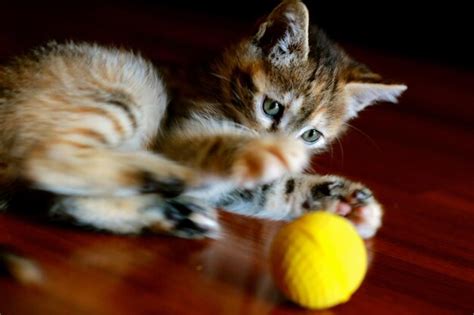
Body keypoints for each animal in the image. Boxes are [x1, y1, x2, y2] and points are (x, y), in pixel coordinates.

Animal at [0, 0, 406, 241]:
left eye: (311, 135)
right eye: (271, 108)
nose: (288, 144)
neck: (214, 86)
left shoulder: (237, 186)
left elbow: (276, 188)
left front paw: (344, 202)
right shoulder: (178, 130)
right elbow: (210, 145)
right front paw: (260, 149)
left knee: (61, 200)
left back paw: (173, 212)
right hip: (133, 89)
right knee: (45, 159)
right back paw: (166, 177)